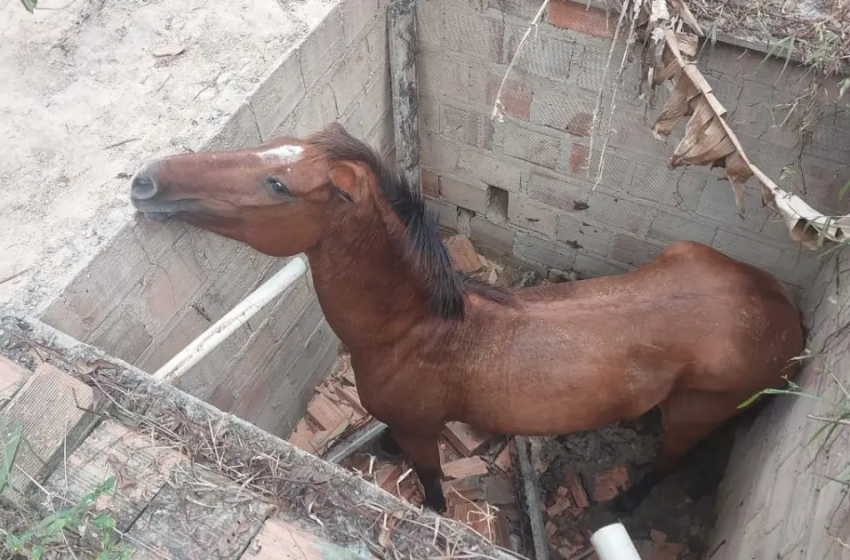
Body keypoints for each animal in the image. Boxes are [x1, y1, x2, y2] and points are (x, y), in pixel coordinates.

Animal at [127, 123, 800, 516]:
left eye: (277, 184)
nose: (146, 180)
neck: (411, 331)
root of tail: (785, 315)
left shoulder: (423, 431)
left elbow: (431, 487)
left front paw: (431, 509)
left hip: (694, 414)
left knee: (669, 464)